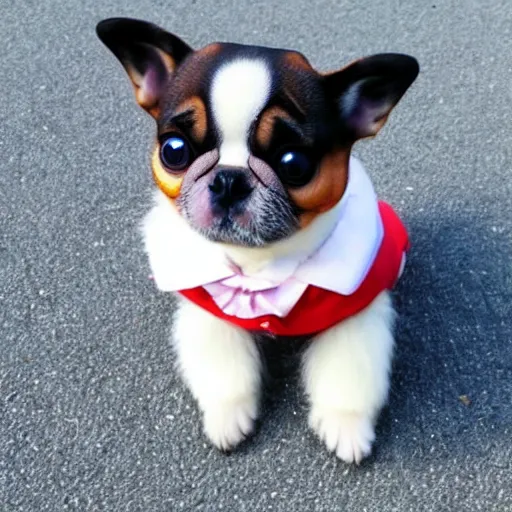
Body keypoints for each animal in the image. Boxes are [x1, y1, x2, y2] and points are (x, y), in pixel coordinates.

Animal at [97, 17, 420, 464]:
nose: (229, 179)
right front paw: (228, 416)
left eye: (293, 163)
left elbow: (347, 376)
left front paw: (347, 427)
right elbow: (226, 372)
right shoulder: (210, 313)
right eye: (175, 150)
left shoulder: (355, 314)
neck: (261, 265)